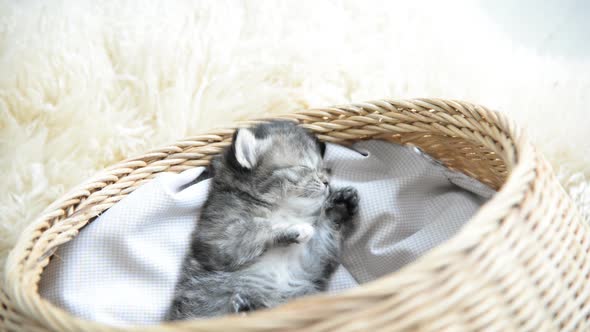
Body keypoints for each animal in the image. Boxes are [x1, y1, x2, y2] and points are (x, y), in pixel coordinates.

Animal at [164, 120, 358, 320]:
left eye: (323, 169)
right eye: (306, 168)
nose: (327, 182)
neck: (282, 209)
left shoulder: (308, 264)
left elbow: (324, 236)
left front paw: (339, 207)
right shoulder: (216, 239)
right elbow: (257, 228)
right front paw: (293, 228)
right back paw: (245, 309)